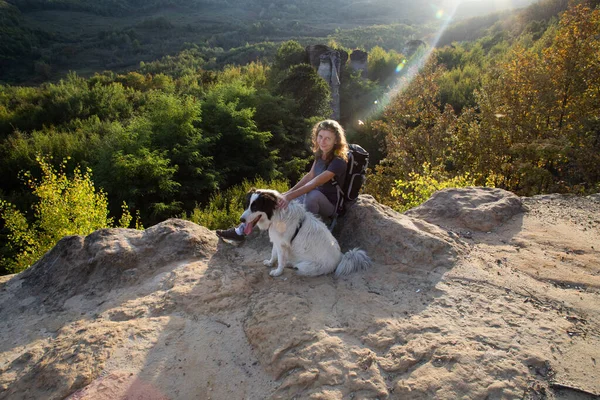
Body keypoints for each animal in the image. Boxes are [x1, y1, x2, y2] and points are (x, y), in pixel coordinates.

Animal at [239, 189, 370, 276]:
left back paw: (290, 264)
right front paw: (271, 263)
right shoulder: (277, 241)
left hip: (306, 266)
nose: (241, 220)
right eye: (247, 205)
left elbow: (280, 259)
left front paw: (277, 272)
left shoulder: (282, 244)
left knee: (298, 266)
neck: (276, 214)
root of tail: (341, 257)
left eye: (255, 207)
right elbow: (273, 253)